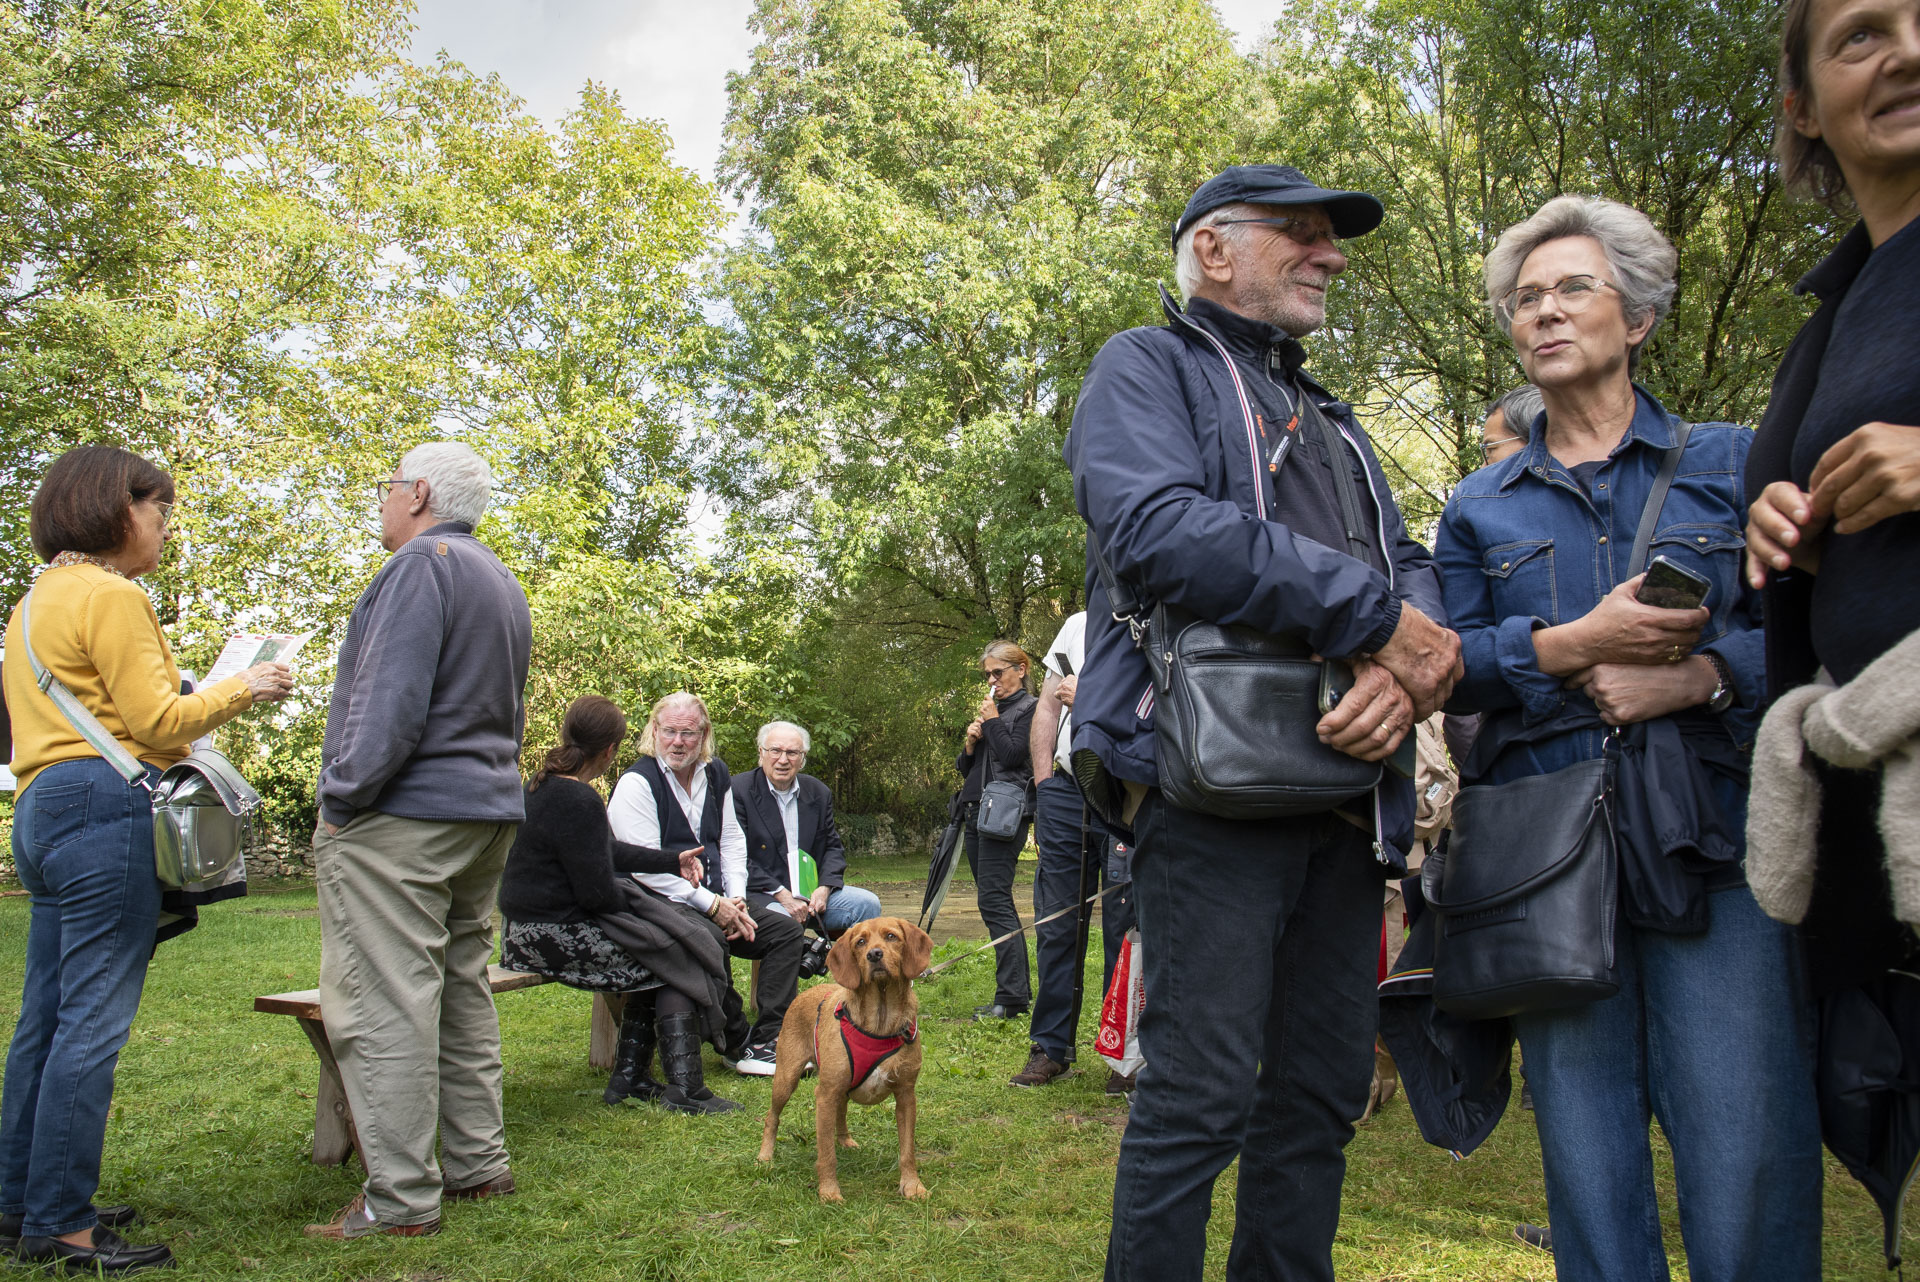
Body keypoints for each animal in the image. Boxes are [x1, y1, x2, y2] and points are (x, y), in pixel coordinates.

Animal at [752, 909, 933, 1205]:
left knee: (842, 1110)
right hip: (786, 1078)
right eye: (860, 942)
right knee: (772, 1117)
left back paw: (845, 1140)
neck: (880, 1021)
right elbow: (826, 1154)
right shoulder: (825, 1094)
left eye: (891, 937)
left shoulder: (906, 1095)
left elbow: (907, 1151)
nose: (874, 955)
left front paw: (912, 1186)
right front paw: (829, 1191)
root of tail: (804, 993)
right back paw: (765, 1156)